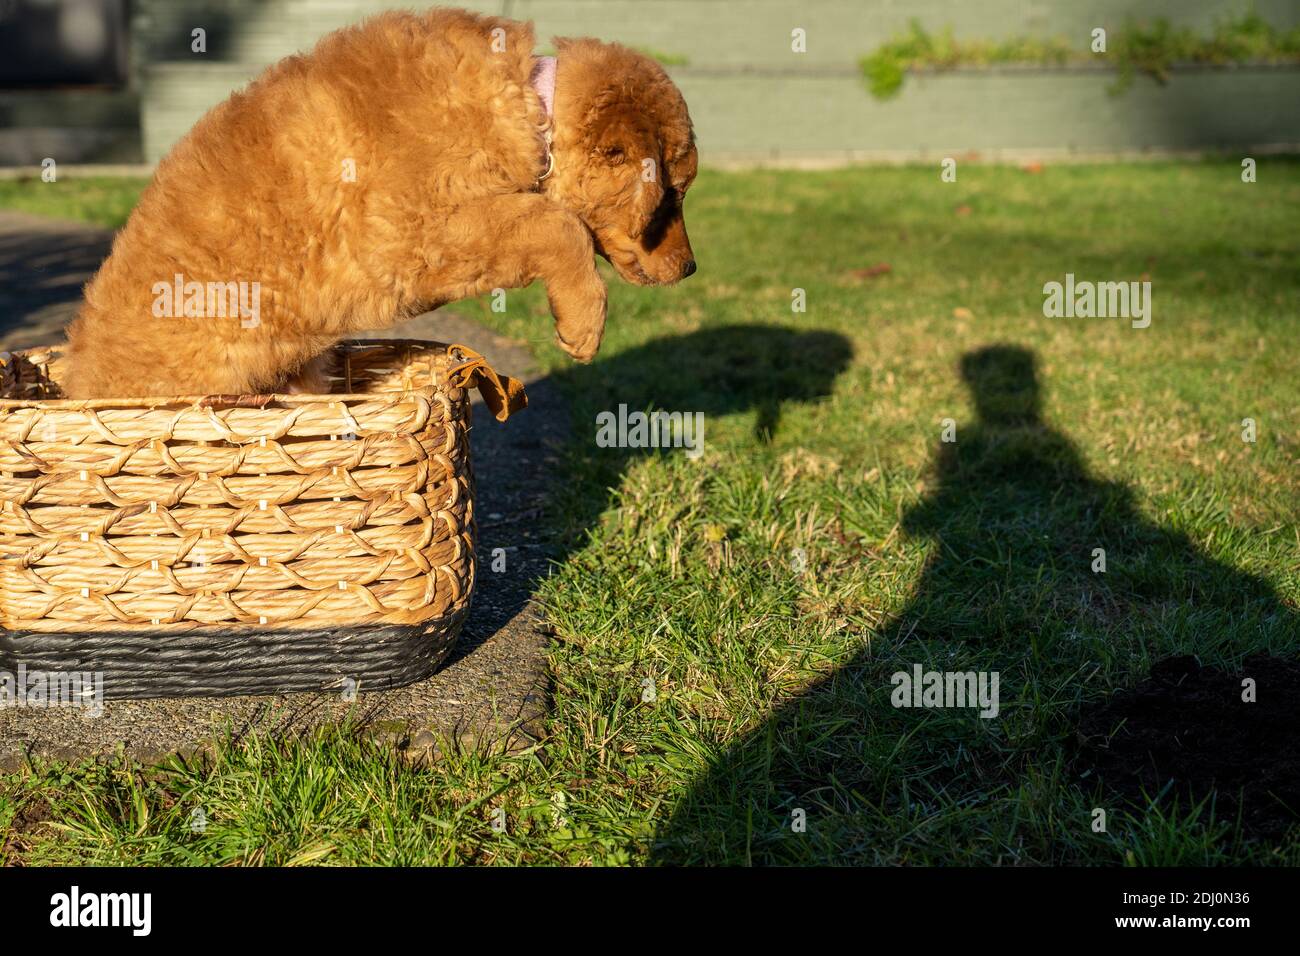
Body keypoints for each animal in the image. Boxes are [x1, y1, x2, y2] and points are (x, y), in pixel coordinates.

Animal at [61, 5, 696, 398]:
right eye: (671, 196)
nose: (691, 268)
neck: (531, 106)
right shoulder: (415, 242)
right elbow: (557, 223)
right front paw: (583, 326)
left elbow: (552, 219)